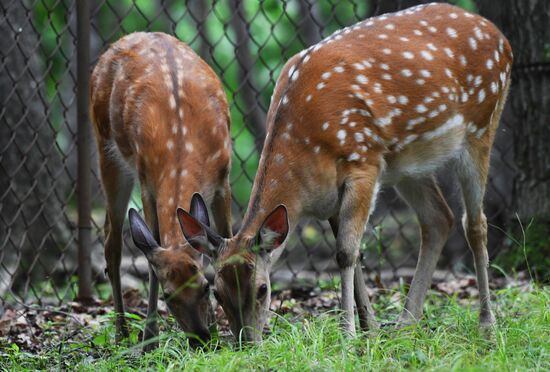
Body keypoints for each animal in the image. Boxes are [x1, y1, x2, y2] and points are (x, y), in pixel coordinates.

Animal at [89, 31, 232, 348]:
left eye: (205, 286)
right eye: (169, 296)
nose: (200, 339)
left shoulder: (223, 176)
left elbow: (226, 239)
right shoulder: (147, 182)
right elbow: (152, 246)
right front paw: (150, 338)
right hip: (107, 149)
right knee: (111, 240)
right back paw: (122, 332)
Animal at [179, 2, 516, 342]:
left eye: (262, 289)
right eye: (216, 292)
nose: (246, 341)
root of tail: (500, 35)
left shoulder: (363, 163)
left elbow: (345, 252)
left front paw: (349, 333)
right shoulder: (329, 195)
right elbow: (348, 252)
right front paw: (370, 327)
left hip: (481, 126)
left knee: (475, 224)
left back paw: (486, 323)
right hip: (410, 164)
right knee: (438, 219)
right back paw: (406, 323)